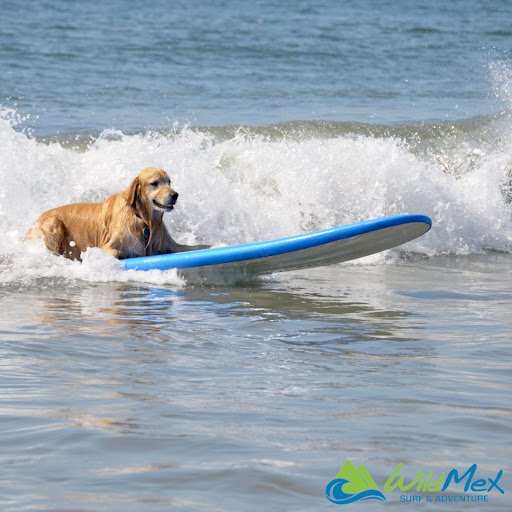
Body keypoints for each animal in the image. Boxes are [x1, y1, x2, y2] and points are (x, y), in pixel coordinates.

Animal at [27, 168, 215, 260]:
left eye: (169, 182)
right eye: (155, 183)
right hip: (53, 223)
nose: (175, 195)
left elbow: (199, 247)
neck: (142, 219)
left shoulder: (169, 245)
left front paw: (217, 244)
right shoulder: (106, 247)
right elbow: (117, 252)